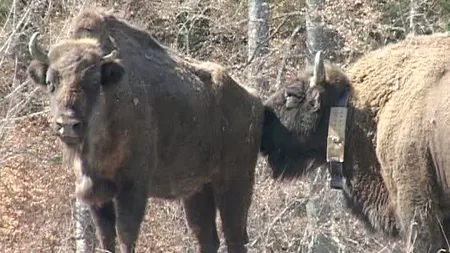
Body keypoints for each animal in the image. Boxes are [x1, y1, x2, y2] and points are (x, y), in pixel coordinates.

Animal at [26, 9, 268, 253]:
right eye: (51, 82)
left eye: (94, 81)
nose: (67, 124)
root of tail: (255, 101)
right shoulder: (97, 190)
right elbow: (106, 235)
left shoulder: (133, 183)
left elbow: (126, 232)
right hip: (197, 190)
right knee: (207, 236)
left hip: (235, 183)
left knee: (234, 235)